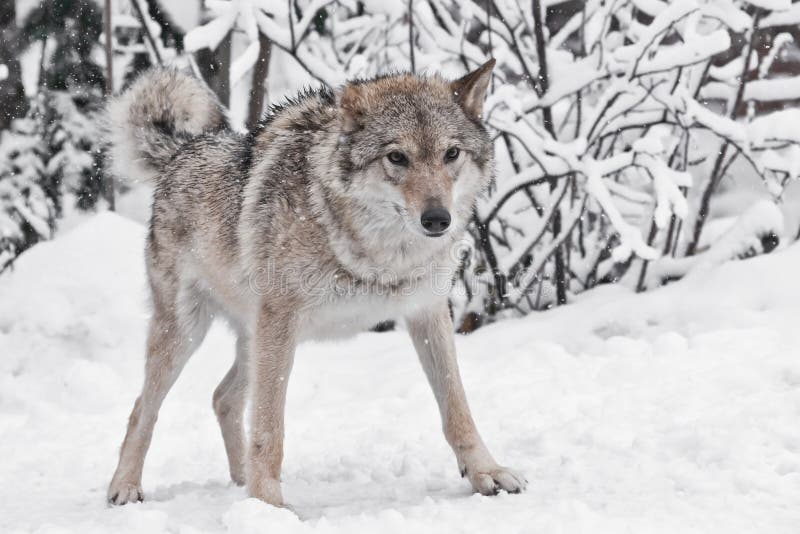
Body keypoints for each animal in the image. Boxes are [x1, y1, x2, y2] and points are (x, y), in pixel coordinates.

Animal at [106, 59, 524, 510]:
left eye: (451, 154)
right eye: (397, 157)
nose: (437, 219)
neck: (380, 257)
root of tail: (182, 150)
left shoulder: (427, 313)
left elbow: (458, 410)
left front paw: (487, 473)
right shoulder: (281, 321)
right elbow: (270, 428)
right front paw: (269, 508)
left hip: (252, 341)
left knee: (223, 398)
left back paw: (240, 484)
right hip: (188, 335)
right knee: (142, 409)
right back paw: (125, 486)